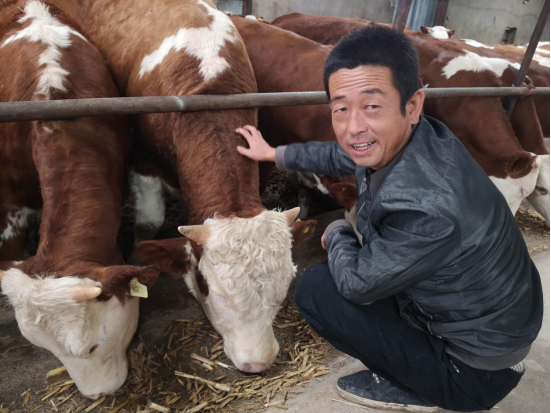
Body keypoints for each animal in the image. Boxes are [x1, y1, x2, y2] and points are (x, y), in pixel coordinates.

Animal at [80, 0, 316, 374]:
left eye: (284, 287)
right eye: (209, 288)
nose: (257, 363)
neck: (210, 89)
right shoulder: (142, 158)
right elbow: (148, 224)